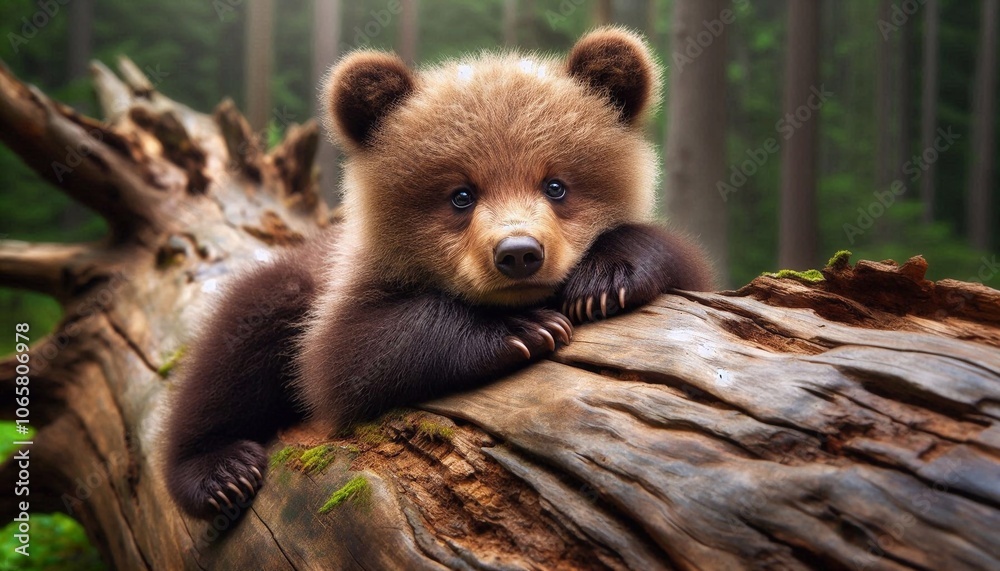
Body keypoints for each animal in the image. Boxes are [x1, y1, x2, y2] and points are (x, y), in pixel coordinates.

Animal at [163, 26, 714, 520]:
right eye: (461, 195)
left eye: (556, 184)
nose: (518, 253)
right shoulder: (345, 288)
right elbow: (345, 354)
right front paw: (524, 329)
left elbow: (681, 261)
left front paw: (603, 283)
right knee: (230, 355)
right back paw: (221, 472)